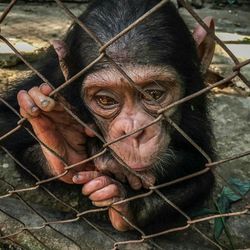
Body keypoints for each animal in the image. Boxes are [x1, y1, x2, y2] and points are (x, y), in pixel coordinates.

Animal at [0, 0, 215, 232]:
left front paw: (109, 160)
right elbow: (7, 121)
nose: (134, 131)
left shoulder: (195, 104)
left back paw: (126, 207)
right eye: (105, 100)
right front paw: (64, 133)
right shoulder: (54, 78)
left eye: (154, 94)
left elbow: (200, 159)